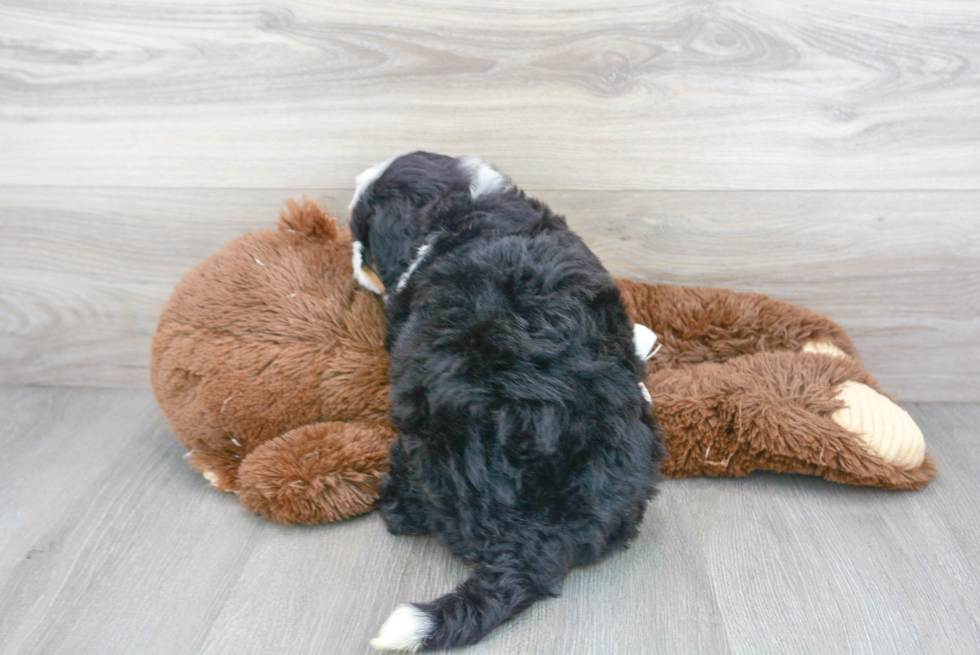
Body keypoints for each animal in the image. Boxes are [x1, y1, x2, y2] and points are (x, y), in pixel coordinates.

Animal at [348, 152, 664, 652]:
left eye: (362, 233)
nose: (355, 265)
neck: (459, 208)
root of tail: (541, 536)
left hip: (425, 441)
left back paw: (396, 504)